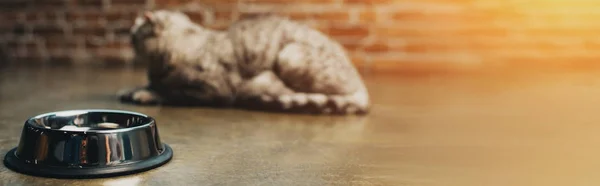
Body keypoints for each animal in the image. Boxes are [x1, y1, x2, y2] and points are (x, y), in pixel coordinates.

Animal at [119, 10, 368, 115]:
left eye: (132, 35)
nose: (128, 39)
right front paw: (134, 89)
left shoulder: (212, 90)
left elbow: (170, 92)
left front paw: (147, 94)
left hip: (291, 55)